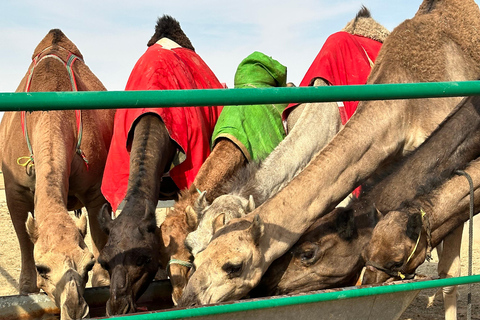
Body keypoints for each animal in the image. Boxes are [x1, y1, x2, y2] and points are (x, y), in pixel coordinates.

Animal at [0, 28, 115, 320]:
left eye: (88, 265)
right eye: (43, 268)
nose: (74, 309)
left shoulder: (95, 188)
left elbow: (99, 236)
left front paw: (103, 282)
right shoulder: (14, 189)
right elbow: (24, 242)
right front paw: (27, 288)